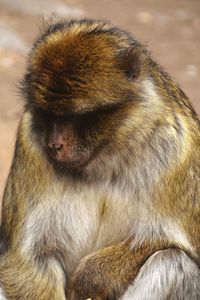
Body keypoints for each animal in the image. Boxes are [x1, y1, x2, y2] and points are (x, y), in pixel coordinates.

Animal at [0, 18, 199, 298]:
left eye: (76, 116)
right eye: (47, 114)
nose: (55, 144)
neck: (106, 154)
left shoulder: (179, 153)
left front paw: (92, 276)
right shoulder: (30, 143)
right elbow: (28, 259)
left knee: (173, 262)